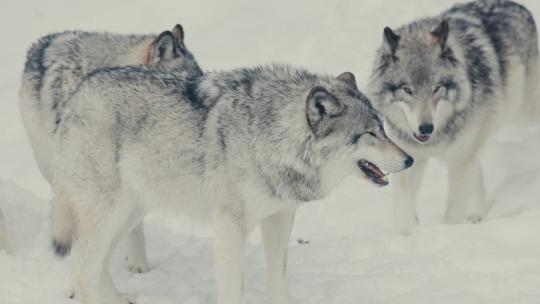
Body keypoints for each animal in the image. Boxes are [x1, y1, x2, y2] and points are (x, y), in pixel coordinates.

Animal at [51, 64, 414, 304]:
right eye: (369, 134)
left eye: (383, 128)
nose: (409, 160)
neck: (272, 138)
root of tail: (77, 94)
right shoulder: (230, 226)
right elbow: (232, 288)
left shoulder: (280, 217)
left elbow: (278, 278)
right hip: (110, 212)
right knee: (84, 268)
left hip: (127, 215)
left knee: (92, 263)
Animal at [370, 0, 536, 233]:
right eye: (407, 90)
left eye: (437, 88)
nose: (426, 128)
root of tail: (517, 5)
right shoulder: (410, 157)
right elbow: (404, 203)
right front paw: (407, 231)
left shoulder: (460, 161)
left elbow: (453, 210)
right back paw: (476, 215)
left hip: (522, 115)